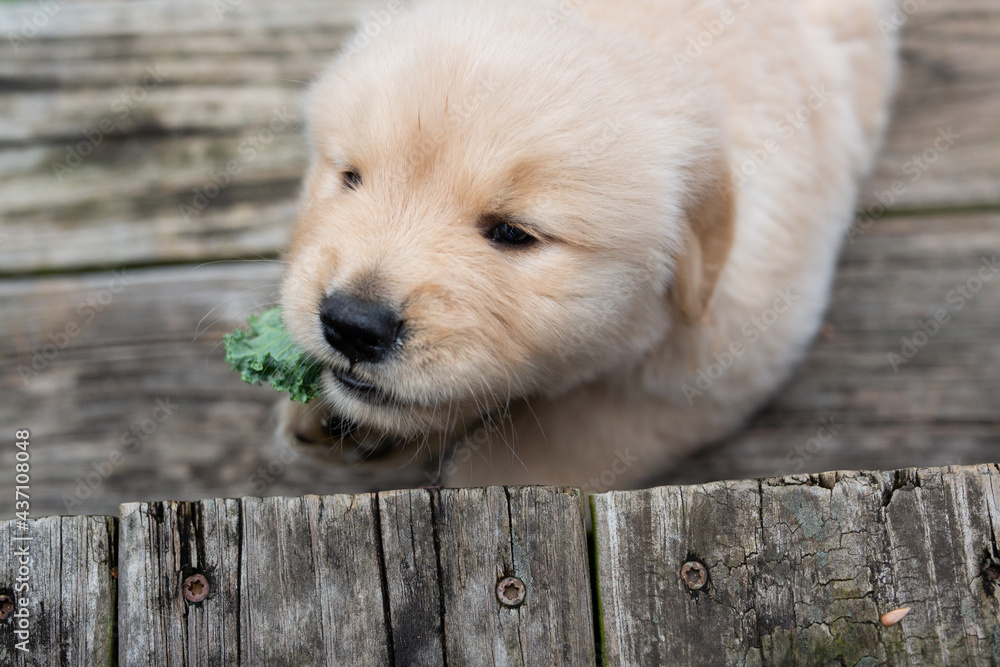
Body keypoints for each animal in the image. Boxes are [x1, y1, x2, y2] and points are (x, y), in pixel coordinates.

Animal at [280, 0, 900, 490]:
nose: (352, 324)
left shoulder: (732, 354)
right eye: (351, 178)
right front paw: (333, 418)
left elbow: (574, 435)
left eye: (514, 233)